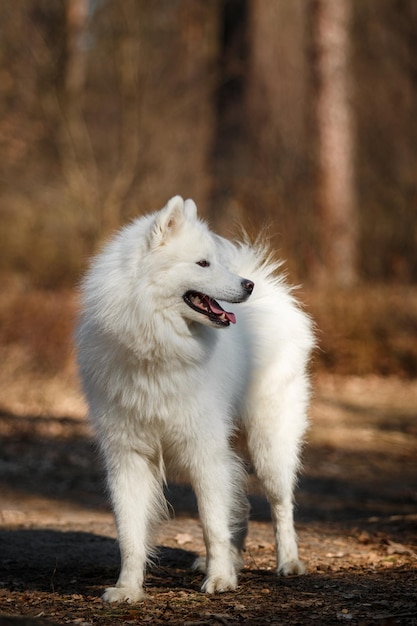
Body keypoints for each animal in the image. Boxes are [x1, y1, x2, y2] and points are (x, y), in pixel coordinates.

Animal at [75, 195, 314, 600]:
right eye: (203, 263)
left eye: (215, 260)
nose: (247, 285)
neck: (157, 348)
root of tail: (270, 287)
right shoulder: (128, 454)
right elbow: (130, 534)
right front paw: (127, 589)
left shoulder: (204, 449)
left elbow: (212, 524)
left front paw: (219, 579)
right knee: (242, 502)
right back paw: (236, 560)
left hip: (268, 444)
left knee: (281, 505)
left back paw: (289, 562)